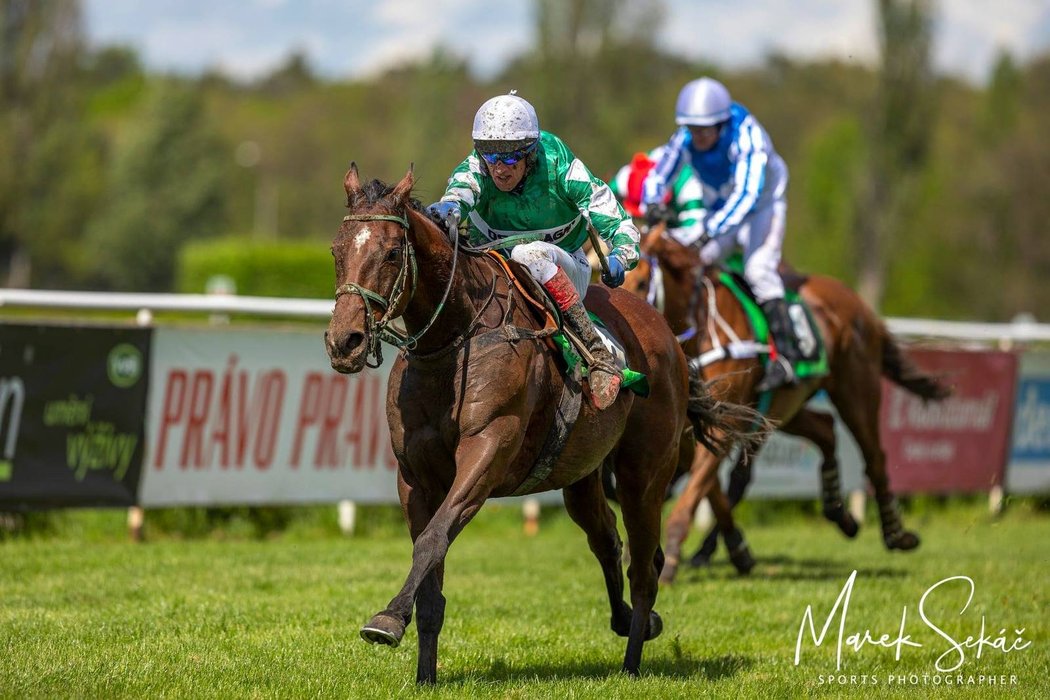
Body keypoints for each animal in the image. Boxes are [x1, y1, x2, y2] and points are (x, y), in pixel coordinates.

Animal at [323, 165, 751, 684]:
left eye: (389, 252)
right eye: (337, 250)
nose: (344, 341)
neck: (455, 337)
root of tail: (668, 334)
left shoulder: (487, 452)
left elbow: (432, 540)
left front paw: (386, 620)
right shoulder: (414, 476)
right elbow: (431, 576)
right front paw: (425, 673)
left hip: (644, 473)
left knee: (645, 569)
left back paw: (632, 660)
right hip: (582, 474)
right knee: (607, 539)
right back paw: (634, 620)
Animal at [621, 225, 953, 587]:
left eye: (642, 281)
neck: (702, 327)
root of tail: (861, 306)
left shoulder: (722, 423)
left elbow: (693, 495)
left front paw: (671, 562)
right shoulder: (692, 426)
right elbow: (707, 489)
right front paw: (736, 551)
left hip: (856, 393)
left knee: (874, 456)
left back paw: (896, 533)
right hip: (781, 409)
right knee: (825, 429)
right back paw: (839, 512)